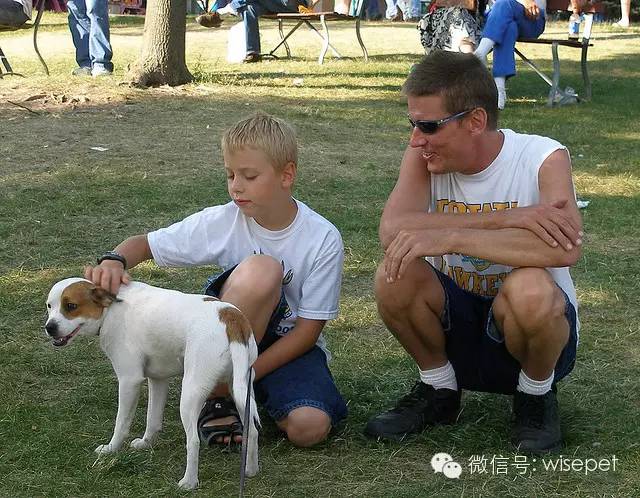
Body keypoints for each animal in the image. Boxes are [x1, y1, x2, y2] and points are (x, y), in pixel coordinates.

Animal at [44, 276, 260, 490]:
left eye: (71, 306)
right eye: (49, 306)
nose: (49, 327)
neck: (110, 309)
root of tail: (231, 318)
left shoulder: (129, 380)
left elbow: (121, 423)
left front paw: (111, 448)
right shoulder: (158, 380)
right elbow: (152, 419)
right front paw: (146, 443)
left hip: (190, 395)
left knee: (193, 441)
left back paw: (189, 482)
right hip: (241, 392)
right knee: (252, 431)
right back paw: (250, 470)